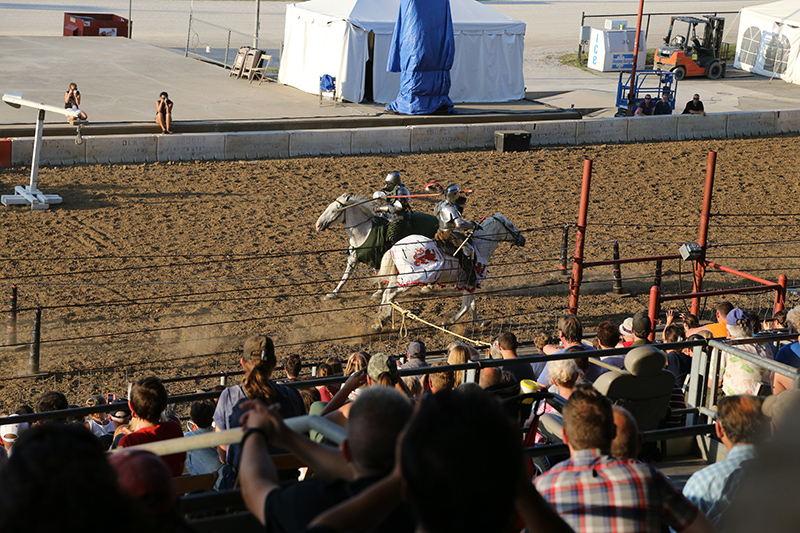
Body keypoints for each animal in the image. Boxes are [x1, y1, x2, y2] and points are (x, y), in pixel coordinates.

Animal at [374, 213, 524, 330]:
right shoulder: (469, 283)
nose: (523, 239)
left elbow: (472, 305)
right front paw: (449, 321)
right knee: (391, 294)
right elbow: (467, 306)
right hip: (411, 280)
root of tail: (396, 247)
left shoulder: (469, 285)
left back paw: (380, 319)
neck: (480, 248)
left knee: (387, 293)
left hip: (397, 278)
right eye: (510, 225)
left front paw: (480, 323)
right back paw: (382, 319)